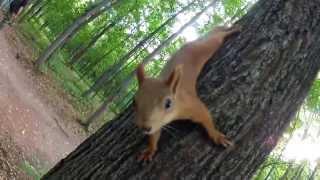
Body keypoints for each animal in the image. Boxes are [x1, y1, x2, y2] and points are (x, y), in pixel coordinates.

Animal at [134, 25, 241, 160]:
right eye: (134, 102)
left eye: (168, 104)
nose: (145, 127)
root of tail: (193, 43)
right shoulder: (157, 123)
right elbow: (155, 133)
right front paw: (150, 150)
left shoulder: (191, 104)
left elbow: (205, 115)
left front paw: (217, 135)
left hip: (209, 46)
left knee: (218, 37)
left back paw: (232, 30)